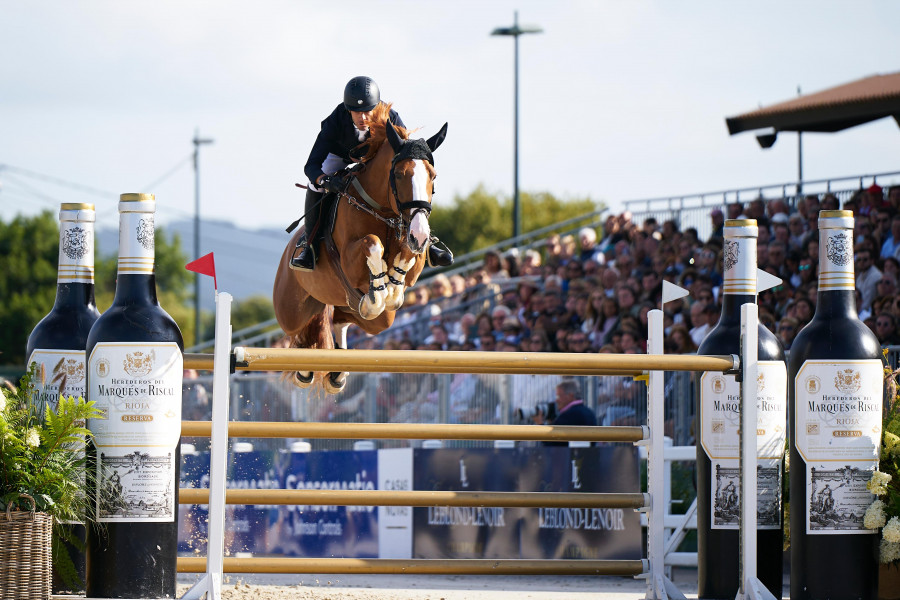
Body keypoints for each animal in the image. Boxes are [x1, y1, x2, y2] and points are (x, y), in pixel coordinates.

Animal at [270, 104, 446, 394]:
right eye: (400, 174)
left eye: (433, 176)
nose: (420, 233)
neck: (383, 210)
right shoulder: (350, 259)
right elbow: (371, 242)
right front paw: (381, 283)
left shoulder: (413, 250)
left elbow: (407, 257)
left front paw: (391, 287)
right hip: (290, 308)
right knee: (300, 329)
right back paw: (305, 368)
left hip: (368, 314)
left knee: (342, 319)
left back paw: (337, 371)